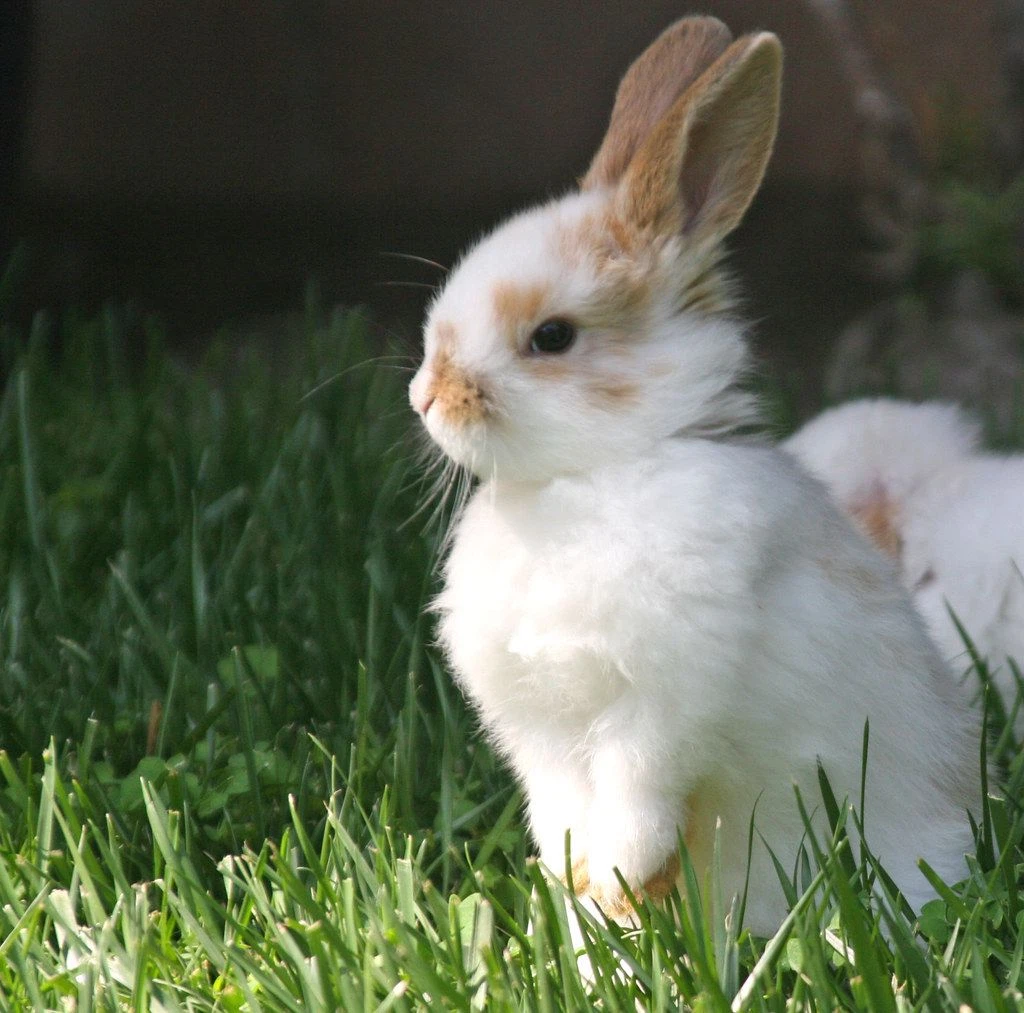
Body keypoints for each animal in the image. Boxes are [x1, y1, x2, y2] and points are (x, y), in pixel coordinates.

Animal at [408, 16, 981, 934]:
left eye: (553, 337)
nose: (427, 395)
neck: (593, 473)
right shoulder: (544, 730)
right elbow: (562, 804)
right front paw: (582, 886)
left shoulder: (661, 704)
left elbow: (640, 791)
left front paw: (619, 877)